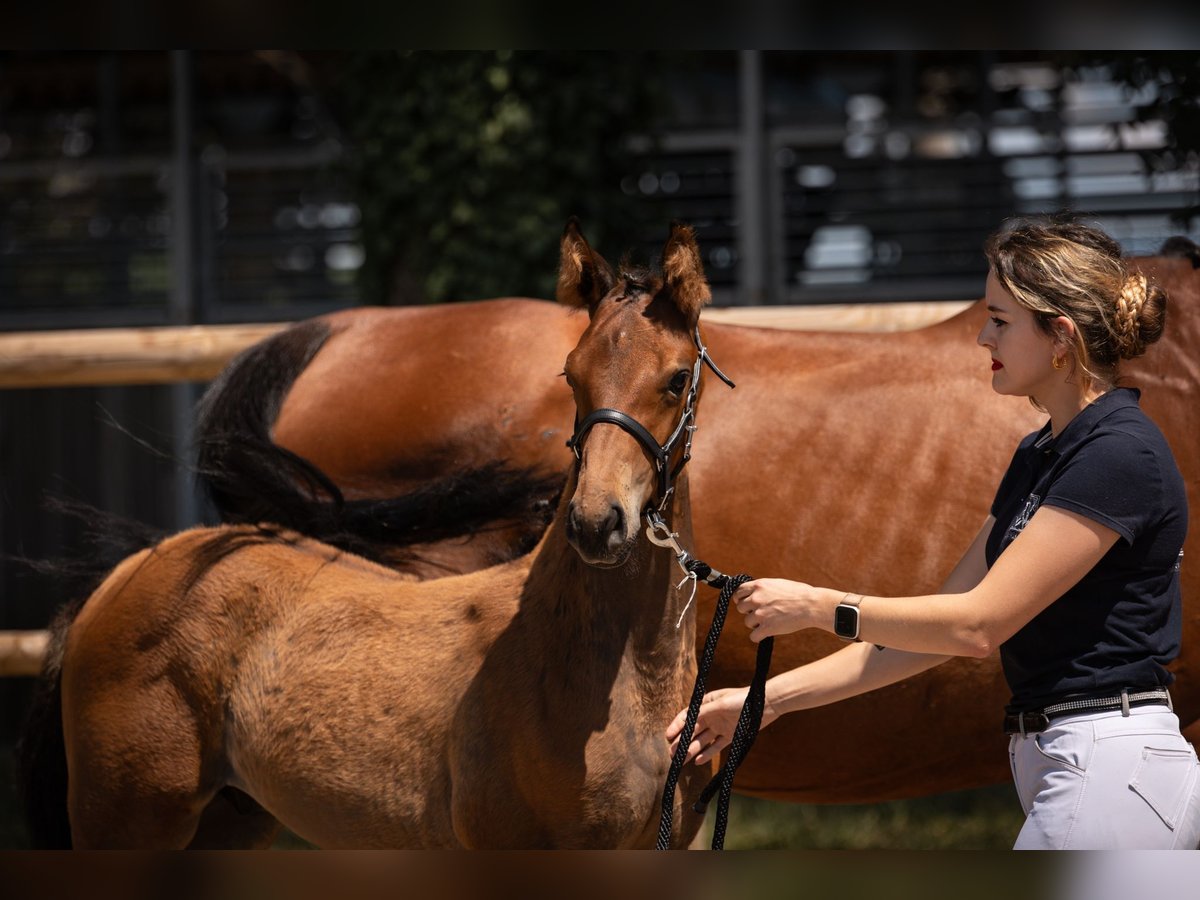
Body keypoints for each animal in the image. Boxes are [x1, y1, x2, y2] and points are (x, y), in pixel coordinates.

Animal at [25, 222, 720, 849]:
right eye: (571, 374)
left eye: (677, 378)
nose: (596, 523)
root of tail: (119, 579)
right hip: (126, 820)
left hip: (226, 827)